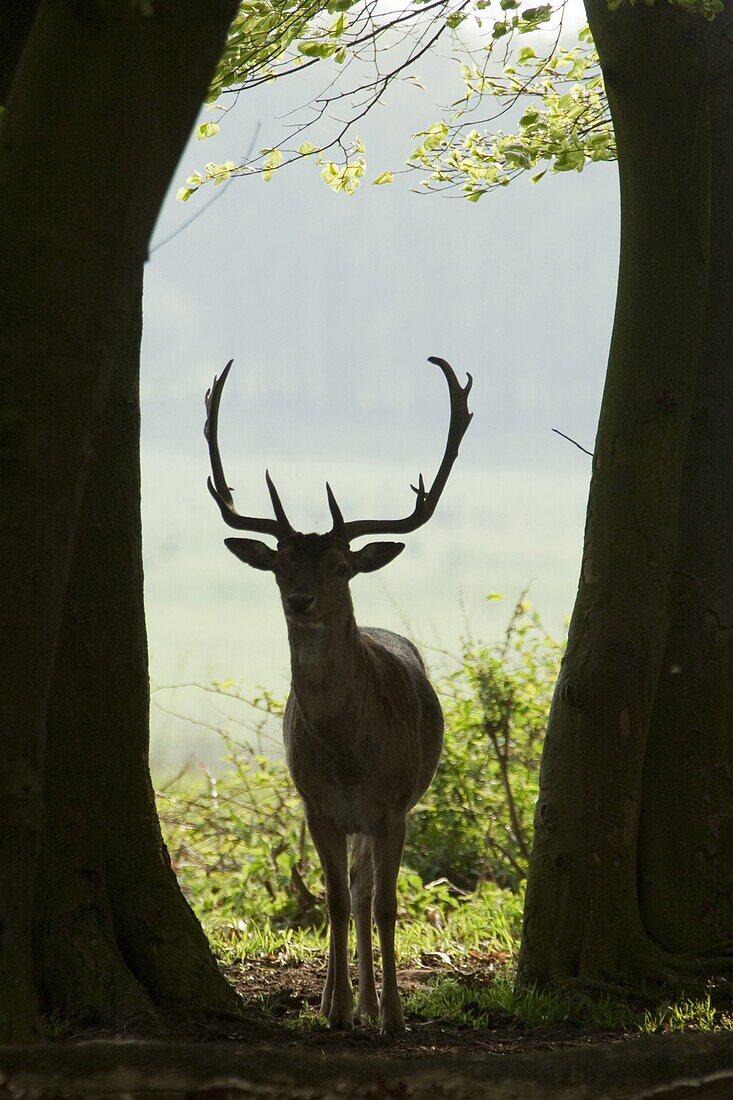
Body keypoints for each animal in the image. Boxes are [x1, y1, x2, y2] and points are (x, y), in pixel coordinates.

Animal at [202, 356, 471, 1034]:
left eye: (342, 566)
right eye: (278, 565)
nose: (301, 601)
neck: (349, 757)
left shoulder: (393, 806)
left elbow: (386, 907)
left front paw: (394, 1016)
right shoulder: (316, 805)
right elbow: (335, 905)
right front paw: (338, 1011)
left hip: (381, 816)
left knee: (369, 892)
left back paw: (377, 1005)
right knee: (351, 891)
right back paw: (345, 1002)